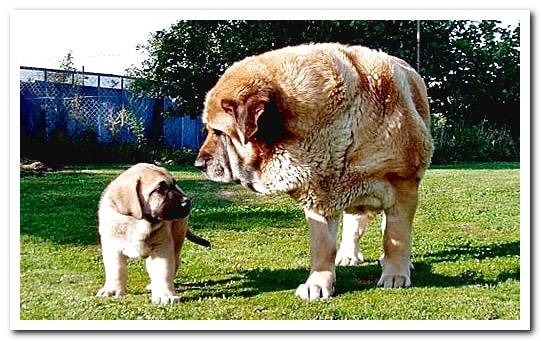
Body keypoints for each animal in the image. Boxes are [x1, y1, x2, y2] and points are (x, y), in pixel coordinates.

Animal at [196, 41, 432, 300]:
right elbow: (323, 247)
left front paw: (396, 275)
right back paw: (348, 254)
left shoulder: (402, 185)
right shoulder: (318, 196)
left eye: (218, 132)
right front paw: (318, 284)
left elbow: (395, 237)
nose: (199, 163)